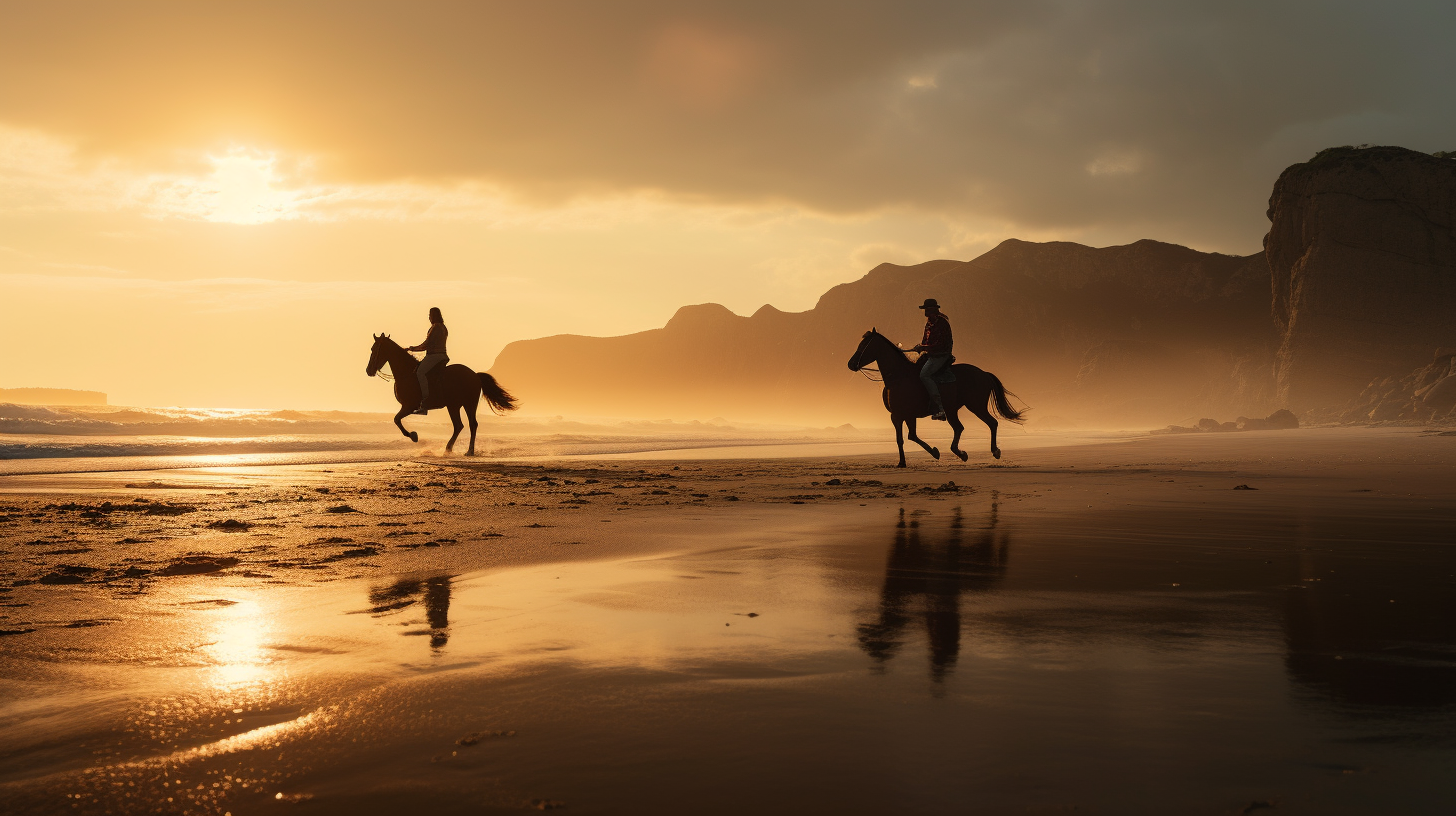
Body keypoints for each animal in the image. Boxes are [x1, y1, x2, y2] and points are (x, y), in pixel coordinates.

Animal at [364, 335, 518, 454]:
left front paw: (413, 436)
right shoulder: (408, 407)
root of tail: (475, 375)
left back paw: (468, 450)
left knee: (471, 424)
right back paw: (449, 449)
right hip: (454, 405)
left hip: (468, 404)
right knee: (460, 426)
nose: (369, 370)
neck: (407, 373)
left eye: (374, 349)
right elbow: (397, 420)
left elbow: (396, 420)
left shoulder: (409, 406)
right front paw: (413, 435)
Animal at [844, 324, 1025, 466]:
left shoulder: (899, 415)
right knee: (959, 428)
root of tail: (984, 374)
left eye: (864, 345)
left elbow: (903, 438)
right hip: (952, 409)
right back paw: (961, 453)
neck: (898, 376)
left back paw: (994, 451)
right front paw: (932, 453)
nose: (851, 364)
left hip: (976, 406)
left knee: (991, 423)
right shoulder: (905, 415)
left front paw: (904, 461)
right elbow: (910, 436)